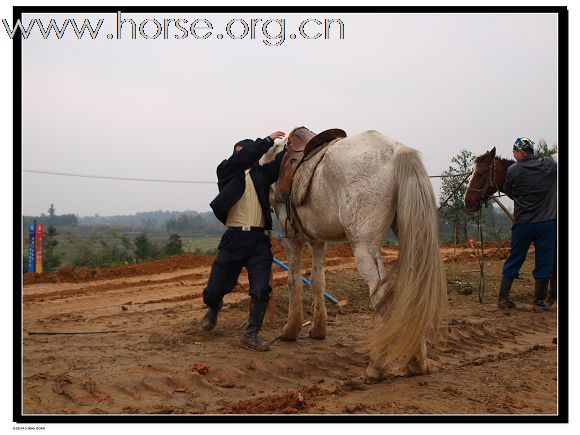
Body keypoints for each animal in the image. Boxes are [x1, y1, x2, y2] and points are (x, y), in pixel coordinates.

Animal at [262, 127, 448, 380]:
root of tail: (397, 151)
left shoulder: (292, 237)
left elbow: (293, 281)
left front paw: (290, 330)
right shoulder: (318, 240)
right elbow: (318, 280)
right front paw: (318, 329)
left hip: (364, 247)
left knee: (382, 298)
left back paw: (375, 366)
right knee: (413, 291)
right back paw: (416, 362)